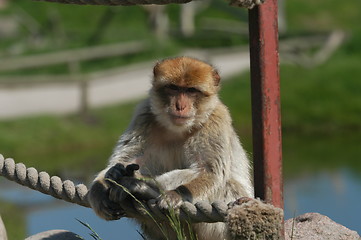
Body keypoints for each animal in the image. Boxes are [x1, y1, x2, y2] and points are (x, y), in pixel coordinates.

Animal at [86, 56, 253, 240]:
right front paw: (102, 184)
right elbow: (128, 160)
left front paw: (173, 193)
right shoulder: (144, 114)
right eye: (173, 88)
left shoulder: (216, 120)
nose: (180, 106)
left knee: (226, 184)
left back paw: (142, 188)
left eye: (191, 91)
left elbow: (211, 174)